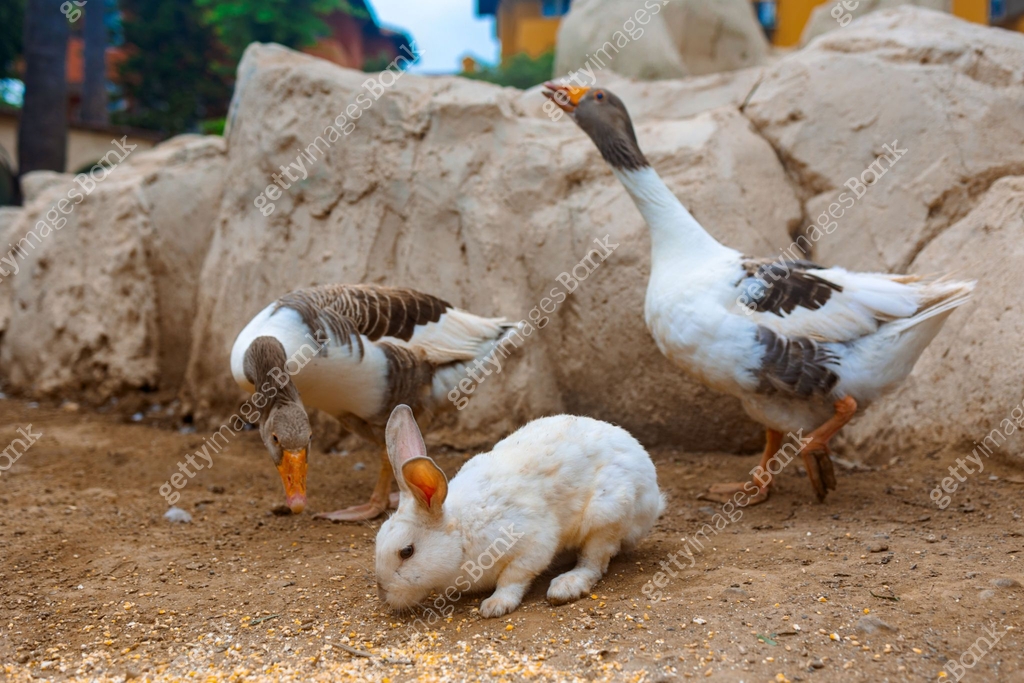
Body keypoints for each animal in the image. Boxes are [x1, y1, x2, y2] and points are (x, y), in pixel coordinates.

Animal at [374, 404, 666, 618]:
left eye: (406, 551)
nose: (383, 593)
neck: (461, 531)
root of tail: (653, 493)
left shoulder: (531, 545)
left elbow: (513, 577)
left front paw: (495, 605)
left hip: (606, 515)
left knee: (594, 562)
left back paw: (566, 586)